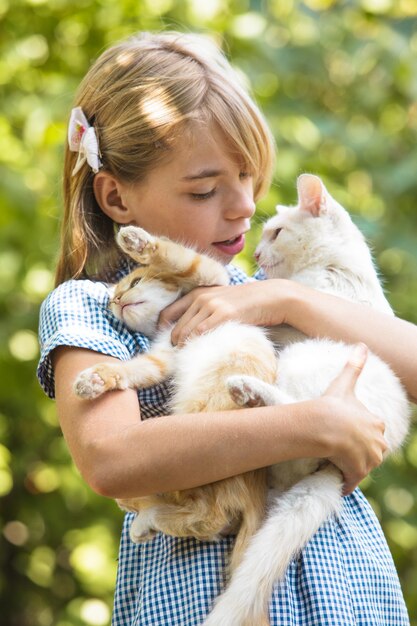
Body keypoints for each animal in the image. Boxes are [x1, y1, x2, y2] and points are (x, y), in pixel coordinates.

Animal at [202, 173, 410, 624]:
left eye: (277, 232)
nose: (256, 253)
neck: (334, 265)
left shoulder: (305, 306)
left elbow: (279, 299)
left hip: (304, 362)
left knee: (297, 411)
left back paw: (246, 390)